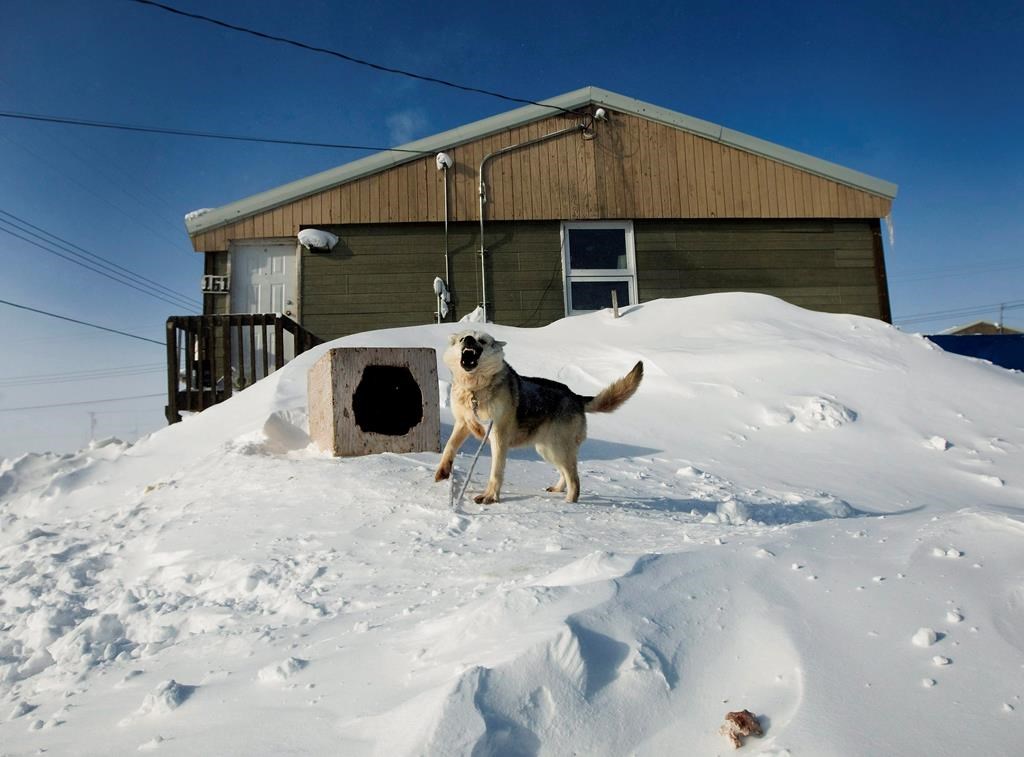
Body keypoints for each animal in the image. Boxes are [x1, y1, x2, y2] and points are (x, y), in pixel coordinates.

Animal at [434, 329, 643, 503]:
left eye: (482, 341)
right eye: (463, 338)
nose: (469, 339)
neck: (474, 390)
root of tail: (575, 396)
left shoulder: (497, 437)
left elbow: (496, 472)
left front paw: (490, 497)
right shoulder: (463, 424)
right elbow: (449, 447)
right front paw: (442, 471)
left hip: (557, 449)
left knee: (574, 479)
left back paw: (570, 502)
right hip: (548, 450)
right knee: (566, 474)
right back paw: (558, 489)